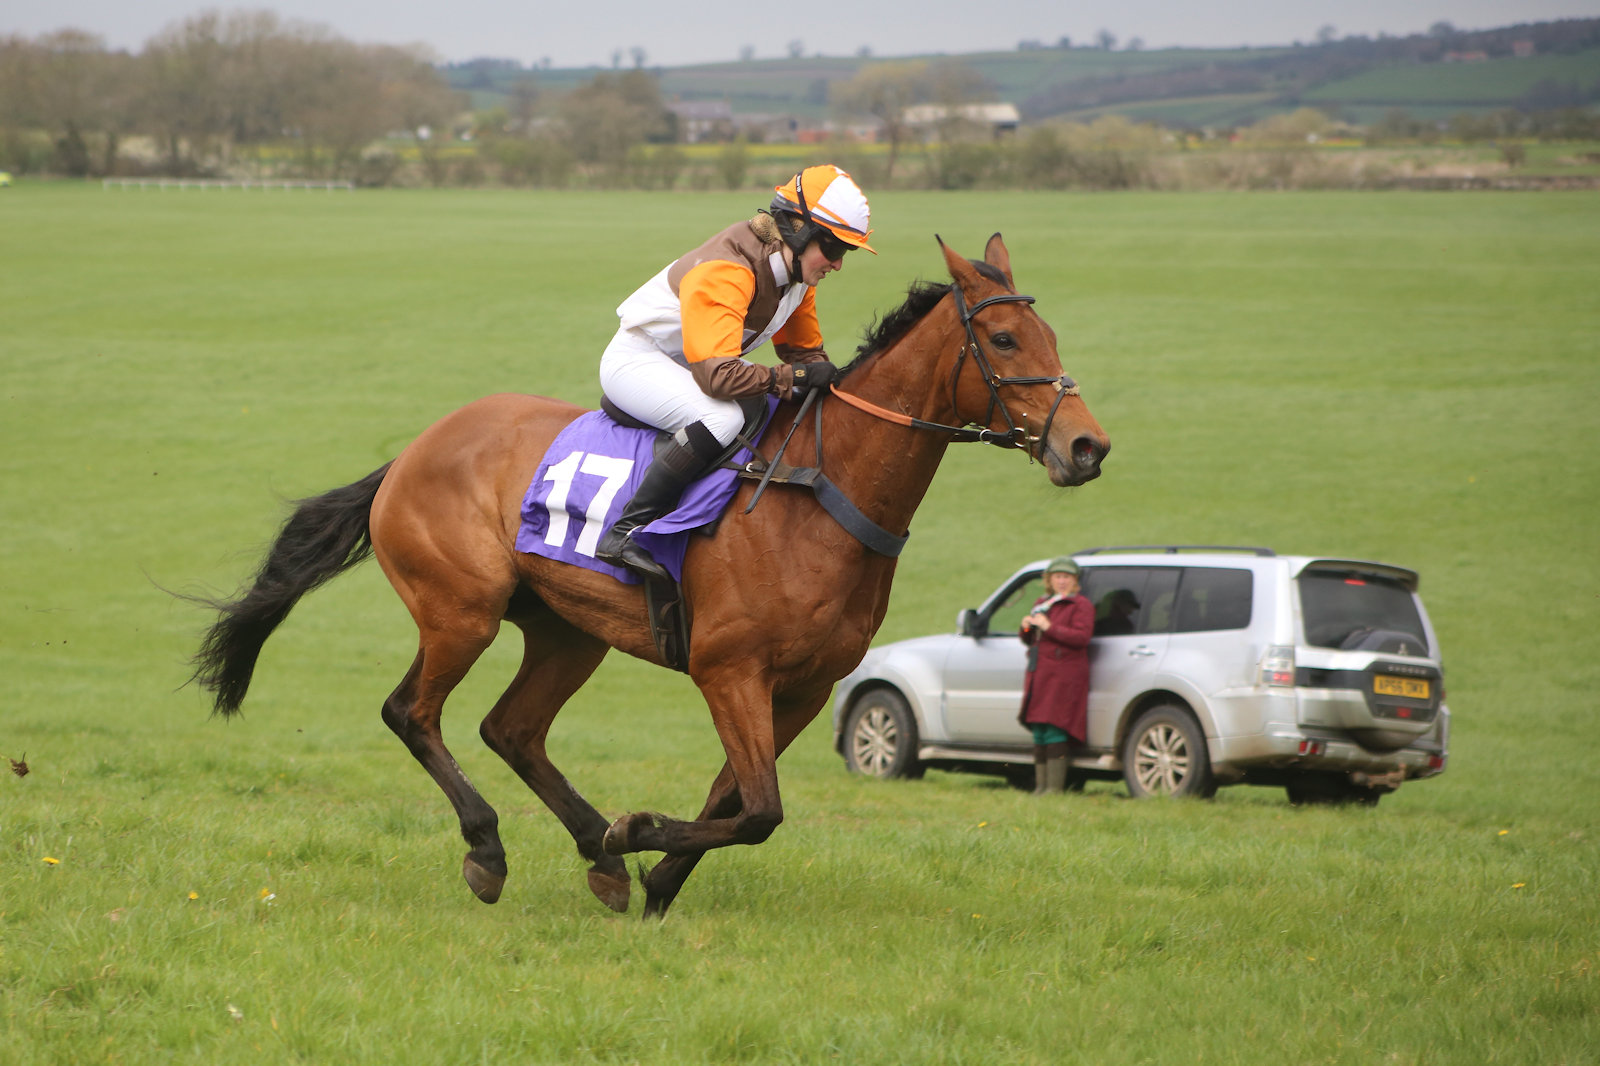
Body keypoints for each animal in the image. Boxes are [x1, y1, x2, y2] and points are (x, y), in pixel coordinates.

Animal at [191, 235, 1109, 918]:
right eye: (1003, 341)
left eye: (1055, 337)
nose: (1087, 447)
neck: (821, 492)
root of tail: (413, 452)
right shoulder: (729, 669)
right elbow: (761, 809)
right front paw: (634, 837)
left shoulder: (804, 687)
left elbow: (735, 800)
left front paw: (648, 873)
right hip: (462, 612)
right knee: (412, 713)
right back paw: (490, 847)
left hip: (566, 631)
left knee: (511, 730)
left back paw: (592, 853)